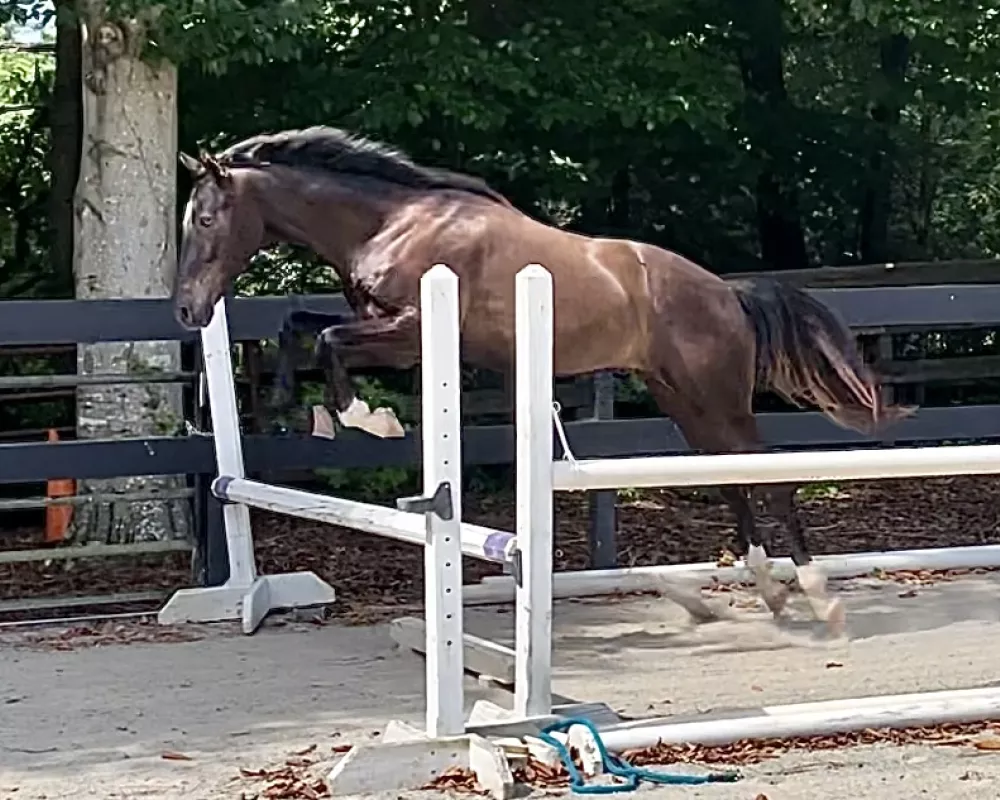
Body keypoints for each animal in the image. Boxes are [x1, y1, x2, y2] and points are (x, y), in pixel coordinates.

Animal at [174, 126, 916, 636]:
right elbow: (298, 325)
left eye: (206, 219)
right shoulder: (386, 330)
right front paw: (300, 408)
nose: (186, 310)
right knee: (731, 477)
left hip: (718, 397)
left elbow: (326, 341)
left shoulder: (411, 333)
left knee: (771, 477)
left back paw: (815, 593)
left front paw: (363, 418)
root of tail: (726, 292)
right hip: (684, 399)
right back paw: (768, 587)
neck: (392, 223)